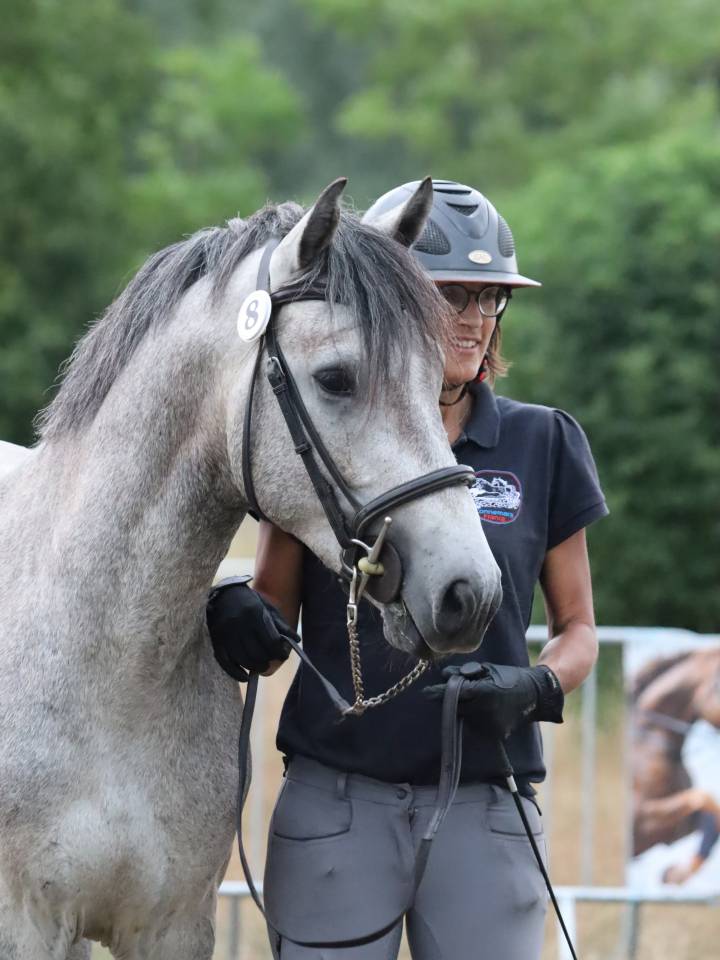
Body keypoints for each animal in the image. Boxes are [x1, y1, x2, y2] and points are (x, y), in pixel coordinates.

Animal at [631, 647, 720, 877]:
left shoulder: (675, 829)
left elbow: (709, 813)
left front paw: (675, 873)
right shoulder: (640, 818)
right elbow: (703, 798)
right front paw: (677, 874)